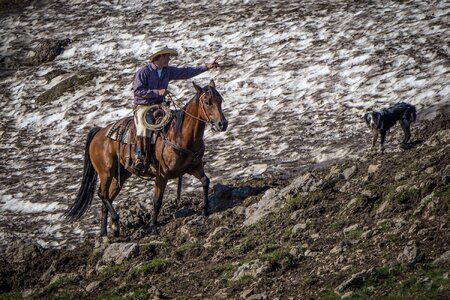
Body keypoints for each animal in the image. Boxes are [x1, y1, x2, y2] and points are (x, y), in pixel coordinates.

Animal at [66, 79, 229, 237]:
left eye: (220, 99)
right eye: (207, 101)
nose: (222, 124)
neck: (180, 135)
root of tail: (99, 132)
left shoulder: (194, 167)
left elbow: (205, 181)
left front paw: (205, 210)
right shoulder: (162, 175)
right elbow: (157, 201)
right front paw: (153, 229)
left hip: (121, 176)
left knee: (107, 196)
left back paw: (105, 232)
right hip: (106, 172)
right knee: (102, 194)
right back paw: (115, 221)